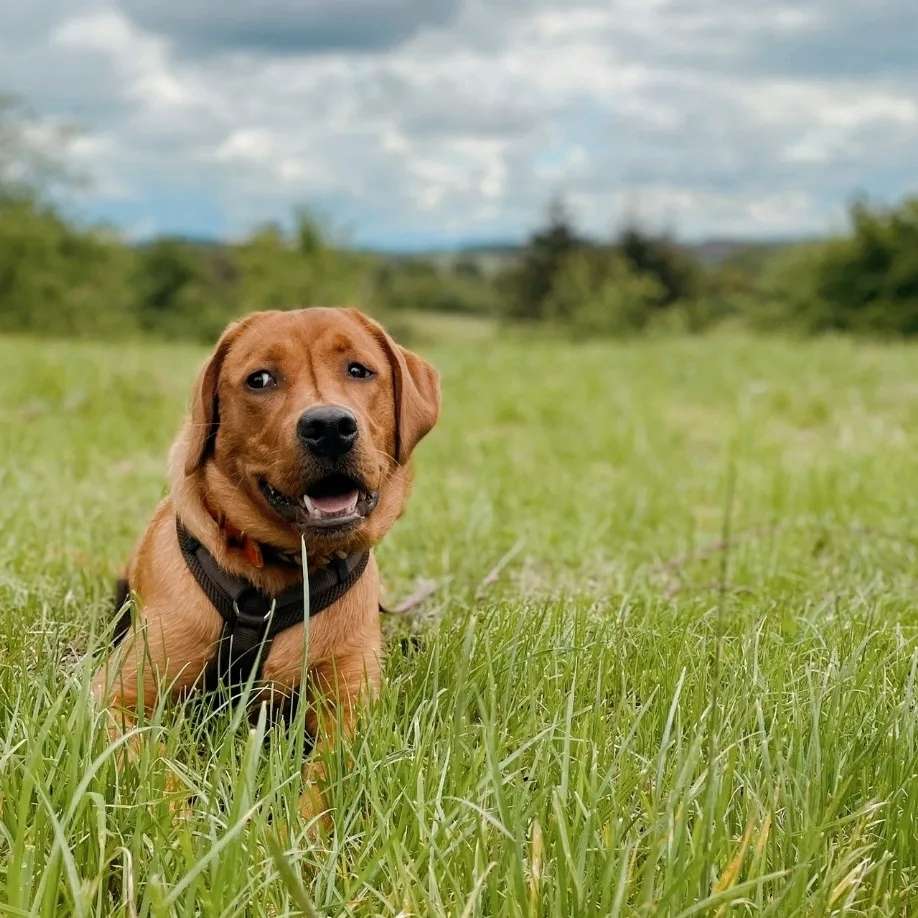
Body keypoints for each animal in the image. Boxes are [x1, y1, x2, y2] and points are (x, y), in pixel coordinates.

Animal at [93, 308, 442, 820]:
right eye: (260, 379)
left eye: (359, 370)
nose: (329, 427)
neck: (279, 574)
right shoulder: (116, 697)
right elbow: (155, 776)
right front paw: (184, 831)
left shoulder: (351, 705)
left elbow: (324, 782)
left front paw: (289, 834)